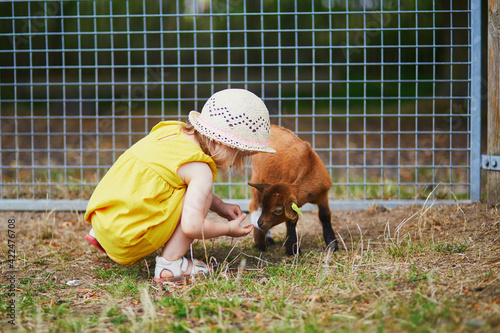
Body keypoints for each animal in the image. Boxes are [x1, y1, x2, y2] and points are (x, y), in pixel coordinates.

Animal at [248, 124, 338, 254]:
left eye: (277, 210)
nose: (260, 223)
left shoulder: (323, 194)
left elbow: (325, 215)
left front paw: (332, 245)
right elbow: (292, 220)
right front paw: (292, 249)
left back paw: (268, 239)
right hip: (257, 176)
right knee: (254, 205)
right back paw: (261, 243)